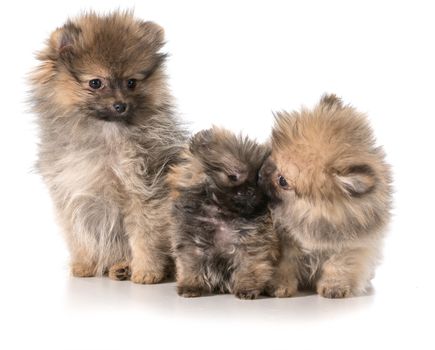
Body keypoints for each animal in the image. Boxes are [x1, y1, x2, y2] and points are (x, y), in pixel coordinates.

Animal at [29, 10, 186, 284]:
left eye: (131, 82)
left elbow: (145, 235)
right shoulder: (71, 193)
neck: (104, 133)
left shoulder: (145, 190)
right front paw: (85, 264)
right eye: (95, 83)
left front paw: (147, 271)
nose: (120, 105)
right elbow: (78, 233)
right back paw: (119, 266)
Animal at [169, 127, 278, 300]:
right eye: (233, 176)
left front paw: (247, 289)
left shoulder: (248, 244)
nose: (251, 191)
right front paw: (191, 286)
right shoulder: (191, 242)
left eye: (258, 180)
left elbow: (248, 267)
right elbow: (191, 266)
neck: (222, 214)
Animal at [258, 94, 394, 296]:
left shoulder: (350, 246)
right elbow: (284, 265)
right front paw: (279, 286)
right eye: (271, 155)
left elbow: (338, 266)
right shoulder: (284, 241)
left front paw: (334, 287)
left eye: (283, 181)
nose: (259, 174)